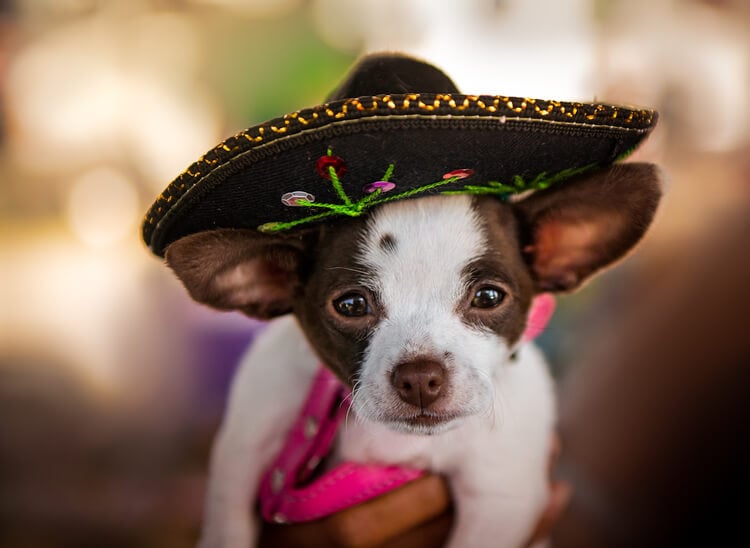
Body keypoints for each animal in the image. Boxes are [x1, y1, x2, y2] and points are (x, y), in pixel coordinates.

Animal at [166, 161, 664, 544]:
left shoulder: (500, 499)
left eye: (488, 297)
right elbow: (228, 528)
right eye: (351, 305)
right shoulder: (244, 450)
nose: (420, 376)